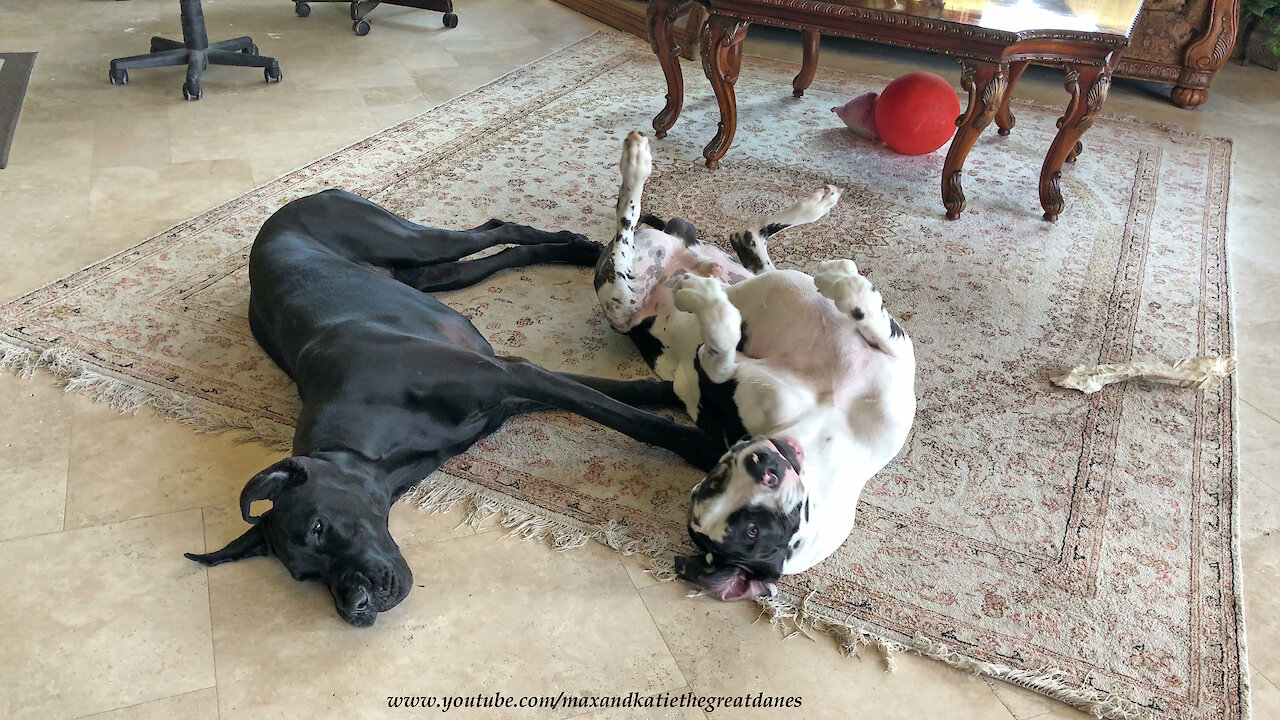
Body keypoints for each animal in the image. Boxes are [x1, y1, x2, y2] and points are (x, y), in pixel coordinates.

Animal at [593, 133, 916, 599]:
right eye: (714, 483)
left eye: (751, 530)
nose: (762, 466)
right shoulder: (715, 371)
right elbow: (724, 344)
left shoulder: (895, 371)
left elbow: (867, 315)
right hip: (621, 298)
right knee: (638, 219)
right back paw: (639, 163)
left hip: (634, 295)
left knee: (740, 238)